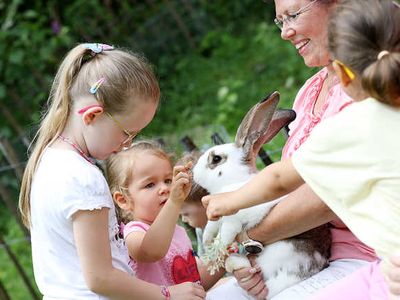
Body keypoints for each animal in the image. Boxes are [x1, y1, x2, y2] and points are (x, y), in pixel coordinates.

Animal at [192, 91, 330, 298]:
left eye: (216, 159)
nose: (193, 173)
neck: (232, 182)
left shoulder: (236, 218)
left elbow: (227, 232)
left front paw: (217, 251)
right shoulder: (215, 219)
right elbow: (210, 227)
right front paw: (208, 243)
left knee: (268, 288)